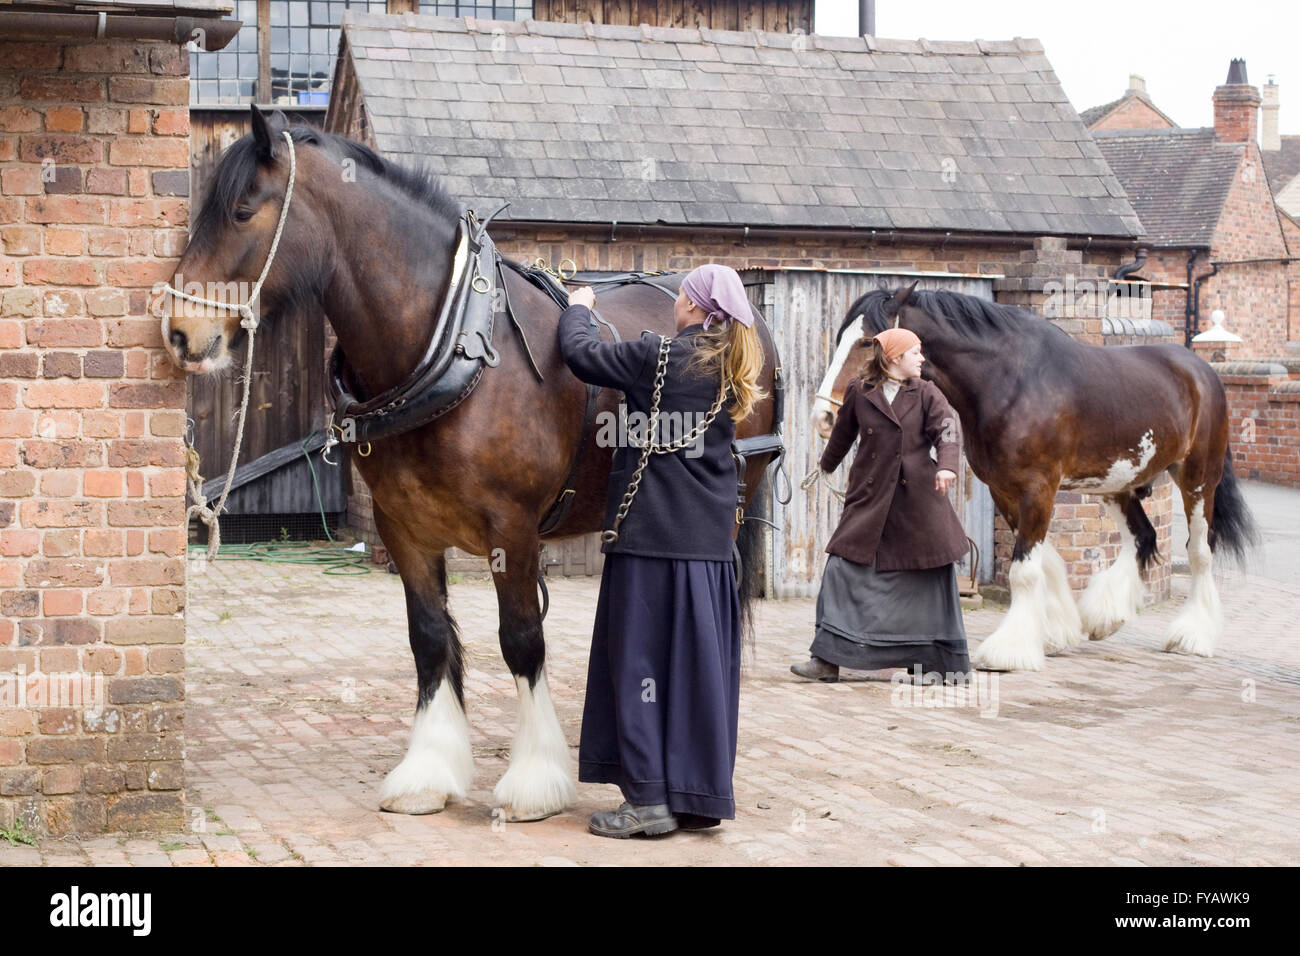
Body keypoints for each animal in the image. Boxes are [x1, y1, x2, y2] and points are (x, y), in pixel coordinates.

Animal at [157, 108, 774, 816]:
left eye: (241, 211)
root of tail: (749, 320)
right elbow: (428, 638)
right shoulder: (403, 526)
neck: (452, 343)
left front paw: (535, 780)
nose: (178, 332)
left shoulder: (513, 529)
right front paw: (429, 771)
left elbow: (521, 640)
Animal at [811, 283, 1258, 671]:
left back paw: (1192, 637)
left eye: (868, 341)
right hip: (1117, 483)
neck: (1009, 381)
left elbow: (1024, 570)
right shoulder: (1005, 490)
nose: (824, 417)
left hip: (1198, 478)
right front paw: (1056, 634)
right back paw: (1105, 618)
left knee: (1200, 550)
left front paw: (1008, 652)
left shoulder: (1038, 488)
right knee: (1142, 536)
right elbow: (1045, 563)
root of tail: (1202, 371)